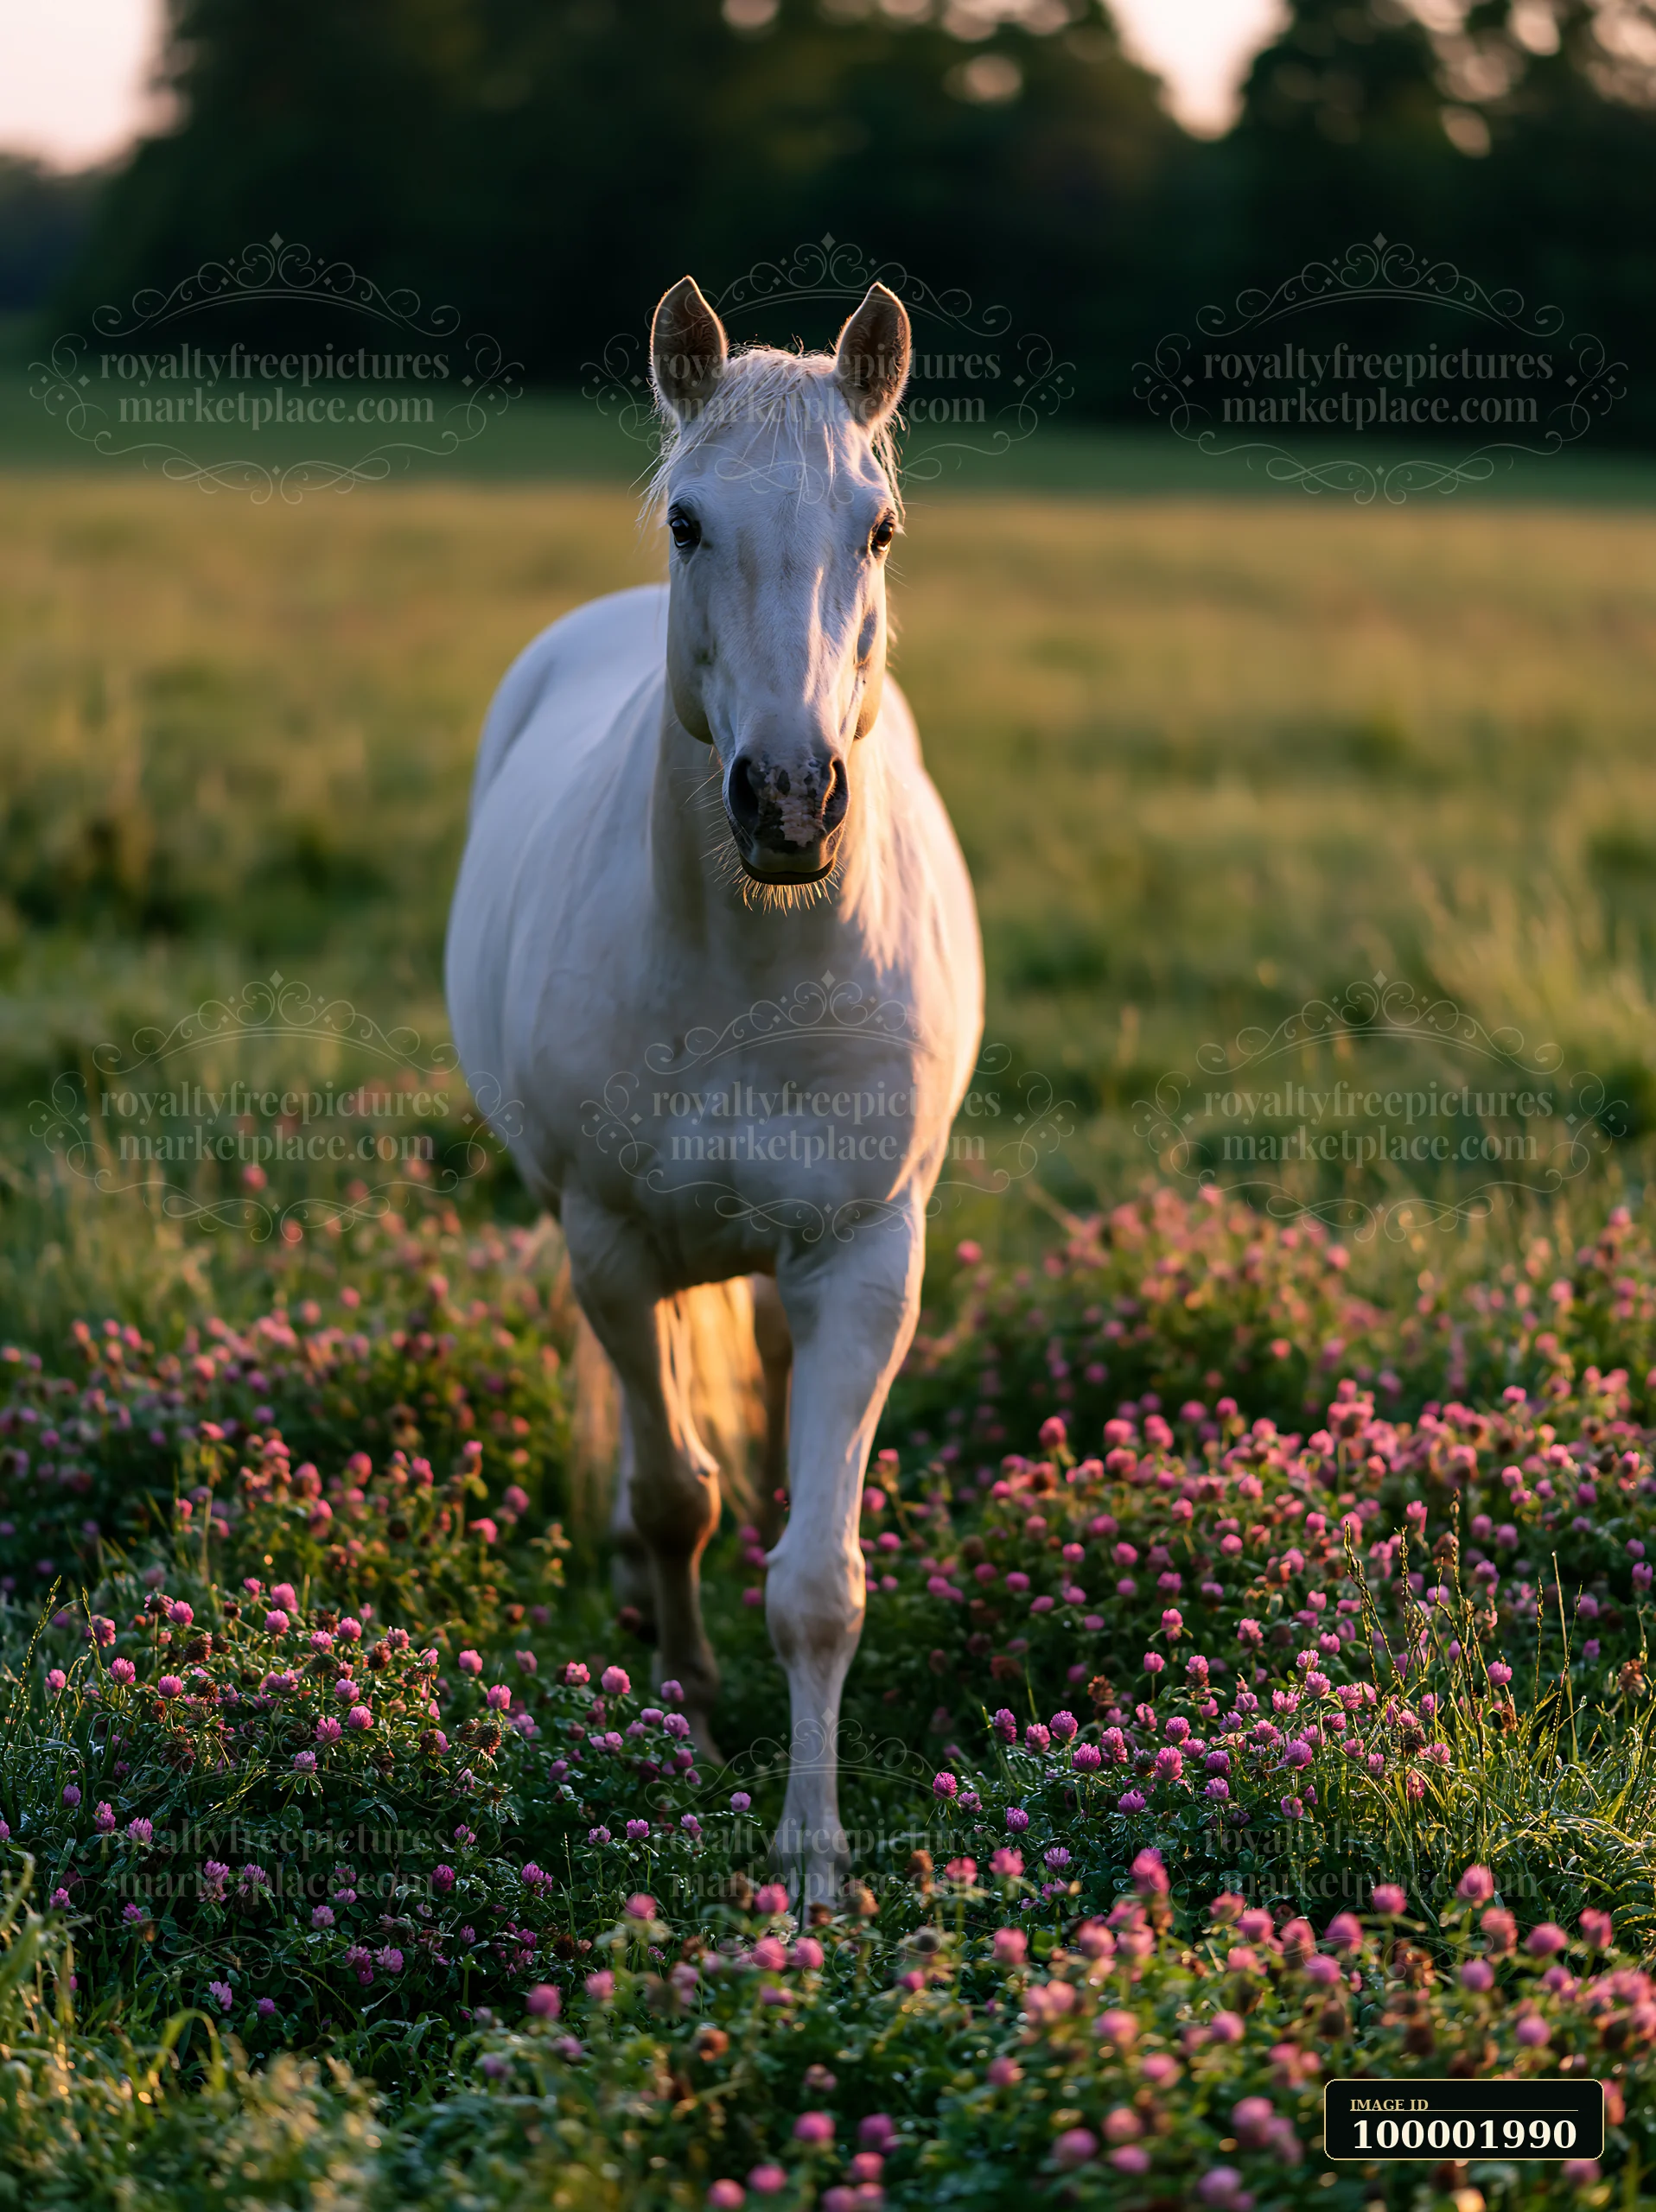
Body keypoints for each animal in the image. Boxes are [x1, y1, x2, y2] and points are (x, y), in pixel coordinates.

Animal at [445, 275, 983, 1902]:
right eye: (687, 522)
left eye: (879, 527)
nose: (791, 802)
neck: (759, 963)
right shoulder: (612, 1244)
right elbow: (672, 1492)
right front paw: (683, 1724)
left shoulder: (867, 1259)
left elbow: (819, 1580)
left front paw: (814, 1859)